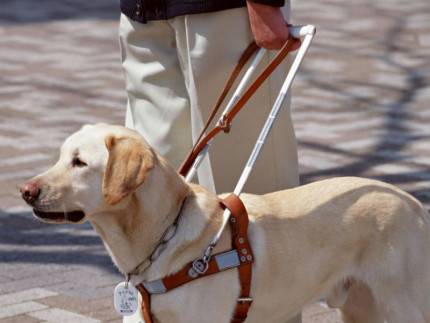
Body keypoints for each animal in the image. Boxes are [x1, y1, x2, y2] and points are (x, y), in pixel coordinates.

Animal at [21, 124, 430, 323]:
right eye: (60, 156)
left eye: (79, 162)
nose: (24, 191)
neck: (161, 237)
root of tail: (413, 201)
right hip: (361, 310)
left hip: (403, 307)